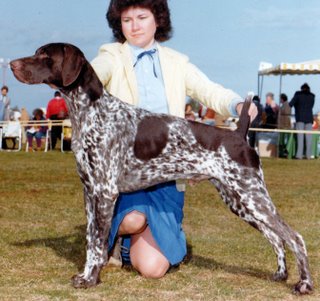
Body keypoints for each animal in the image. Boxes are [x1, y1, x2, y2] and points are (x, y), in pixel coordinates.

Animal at [10, 43, 312, 292]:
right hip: (239, 200)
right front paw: (85, 275)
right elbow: (89, 240)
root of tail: (238, 134)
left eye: (44, 55)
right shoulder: (89, 193)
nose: (11, 64)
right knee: (276, 237)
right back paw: (280, 274)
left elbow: (96, 244)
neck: (91, 112)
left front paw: (91, 279)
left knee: (294, 237)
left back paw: (304, 284)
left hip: (251, 196)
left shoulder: (104, 192)